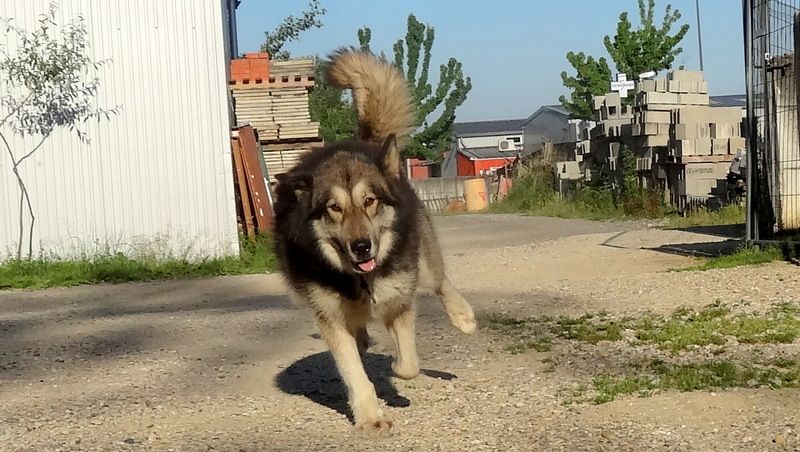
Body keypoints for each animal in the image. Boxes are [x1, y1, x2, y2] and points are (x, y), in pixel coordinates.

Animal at [272, 48, 478, 434]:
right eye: (334, 208)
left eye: (369, 201)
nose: (362, 247)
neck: (362, 281)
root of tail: (364, 143)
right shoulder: (329, 317)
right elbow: (353, 370)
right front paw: (369, 416)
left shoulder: (401, 300)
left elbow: (408, 365)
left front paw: (395, 370)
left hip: (423, 256)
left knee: (440, 281)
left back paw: (462, 316)